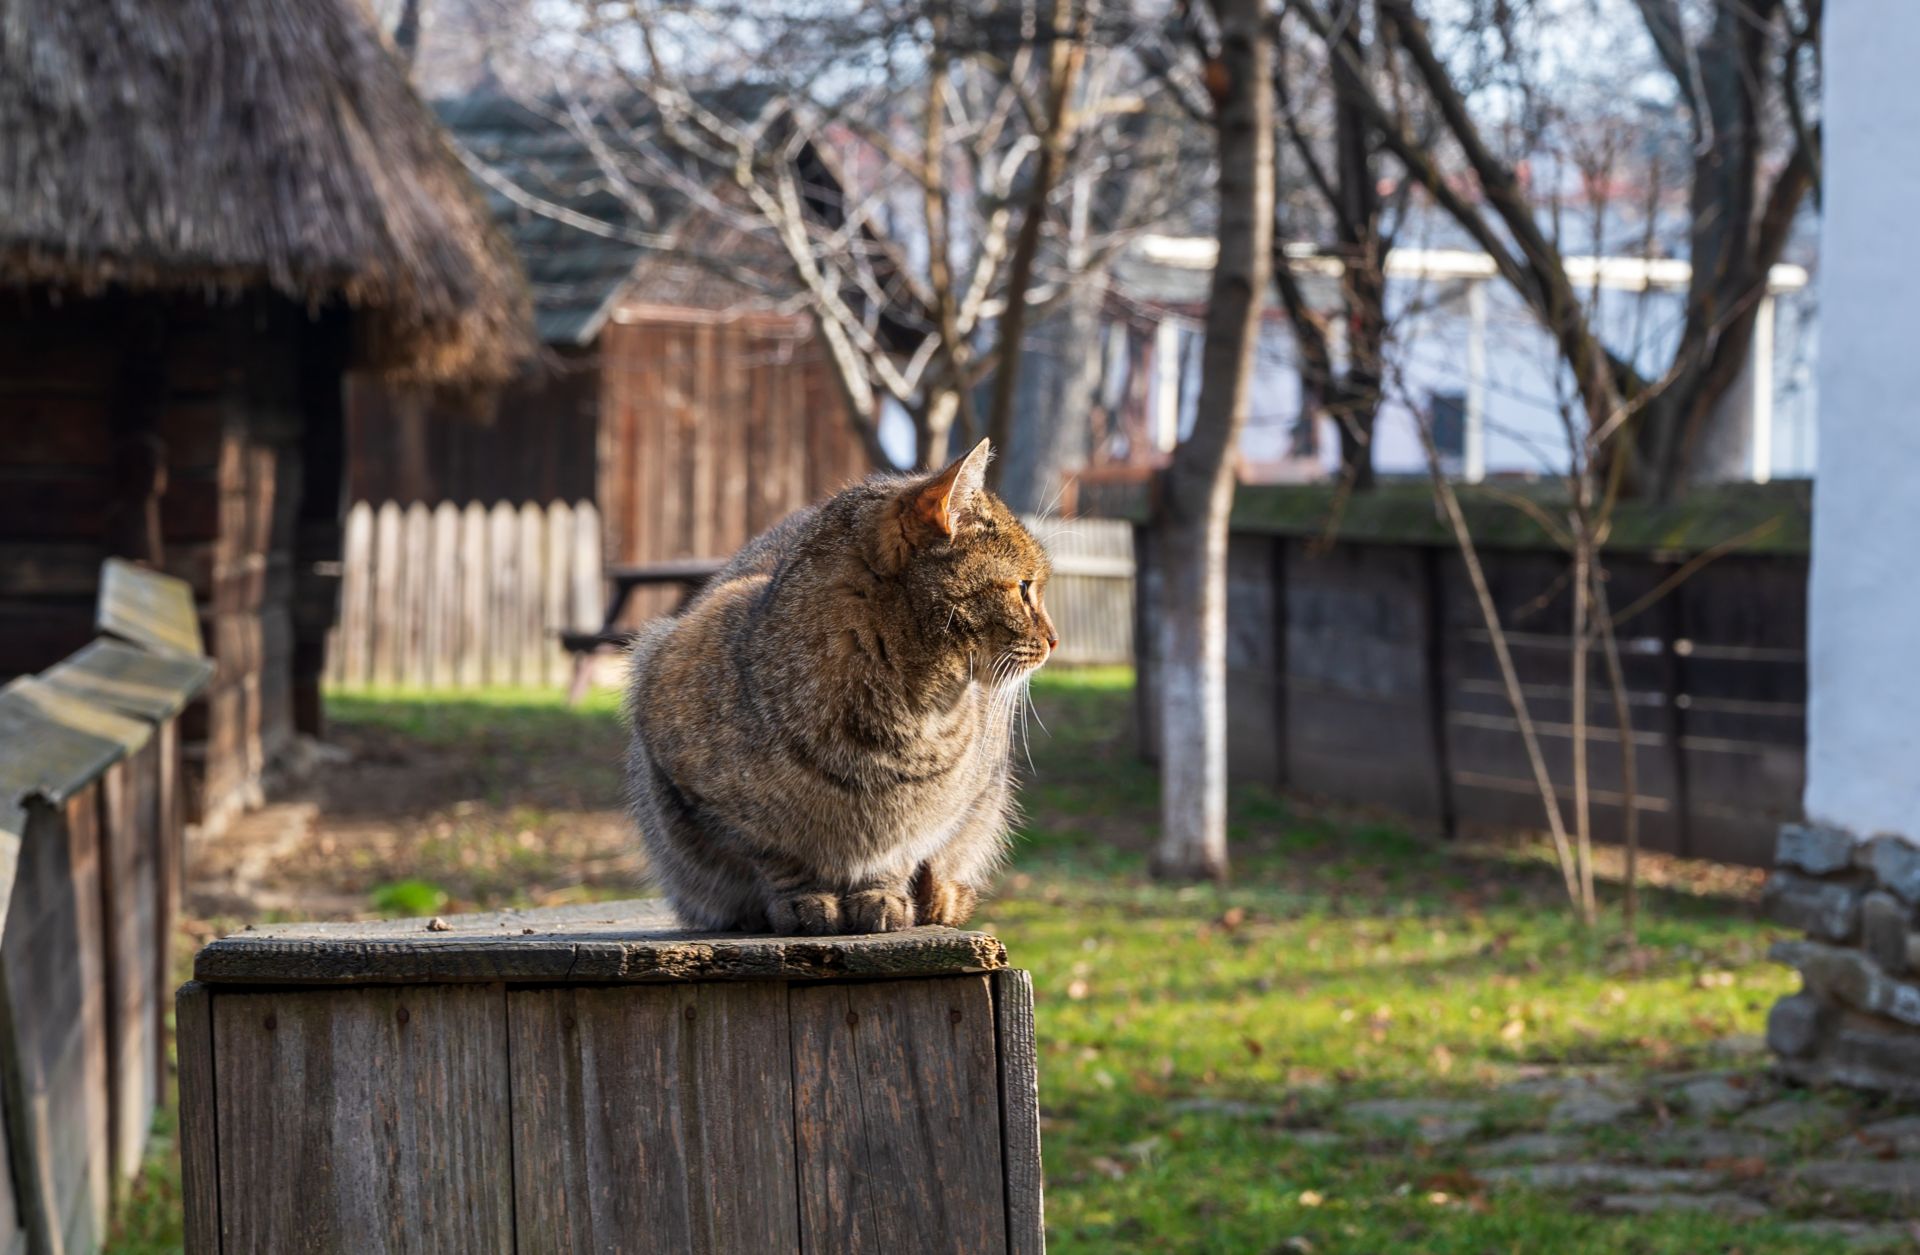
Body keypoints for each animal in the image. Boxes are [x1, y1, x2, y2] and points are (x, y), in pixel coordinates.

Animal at [622, 439, 1059, 932]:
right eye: (1024, 587)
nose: (1054, 640)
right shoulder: (695, 776)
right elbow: (776, 855)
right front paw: (803, 900)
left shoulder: (933, 816)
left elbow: (901, 851)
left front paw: (883, 894)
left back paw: (939, 897)